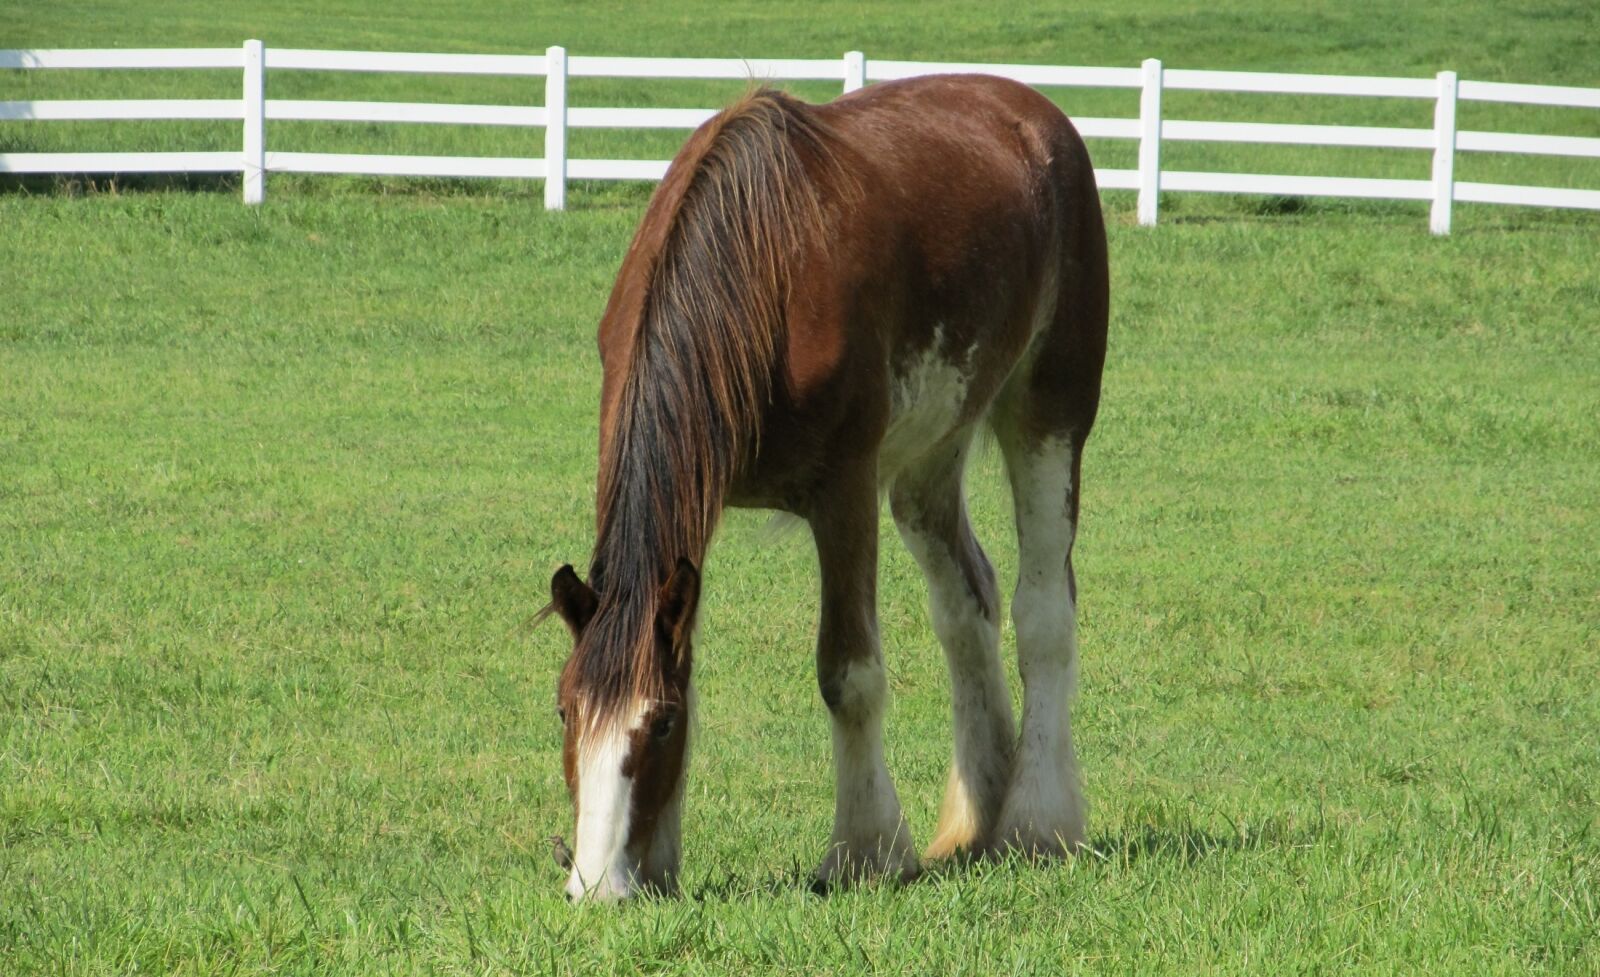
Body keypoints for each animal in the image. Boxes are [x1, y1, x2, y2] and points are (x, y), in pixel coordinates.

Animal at [544, 73, 1108, 901]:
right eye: (565, 710)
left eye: (661, 724)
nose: (597, 886)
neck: (763, 271)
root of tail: (1035, 115)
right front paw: (661, 862)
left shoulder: (844, 491)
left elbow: (849, 674)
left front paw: (865, 849)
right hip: (930, 456)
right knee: (967, 606)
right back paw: (978, 812)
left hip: (1050, 412)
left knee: (1043, 612)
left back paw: (1036, 820)